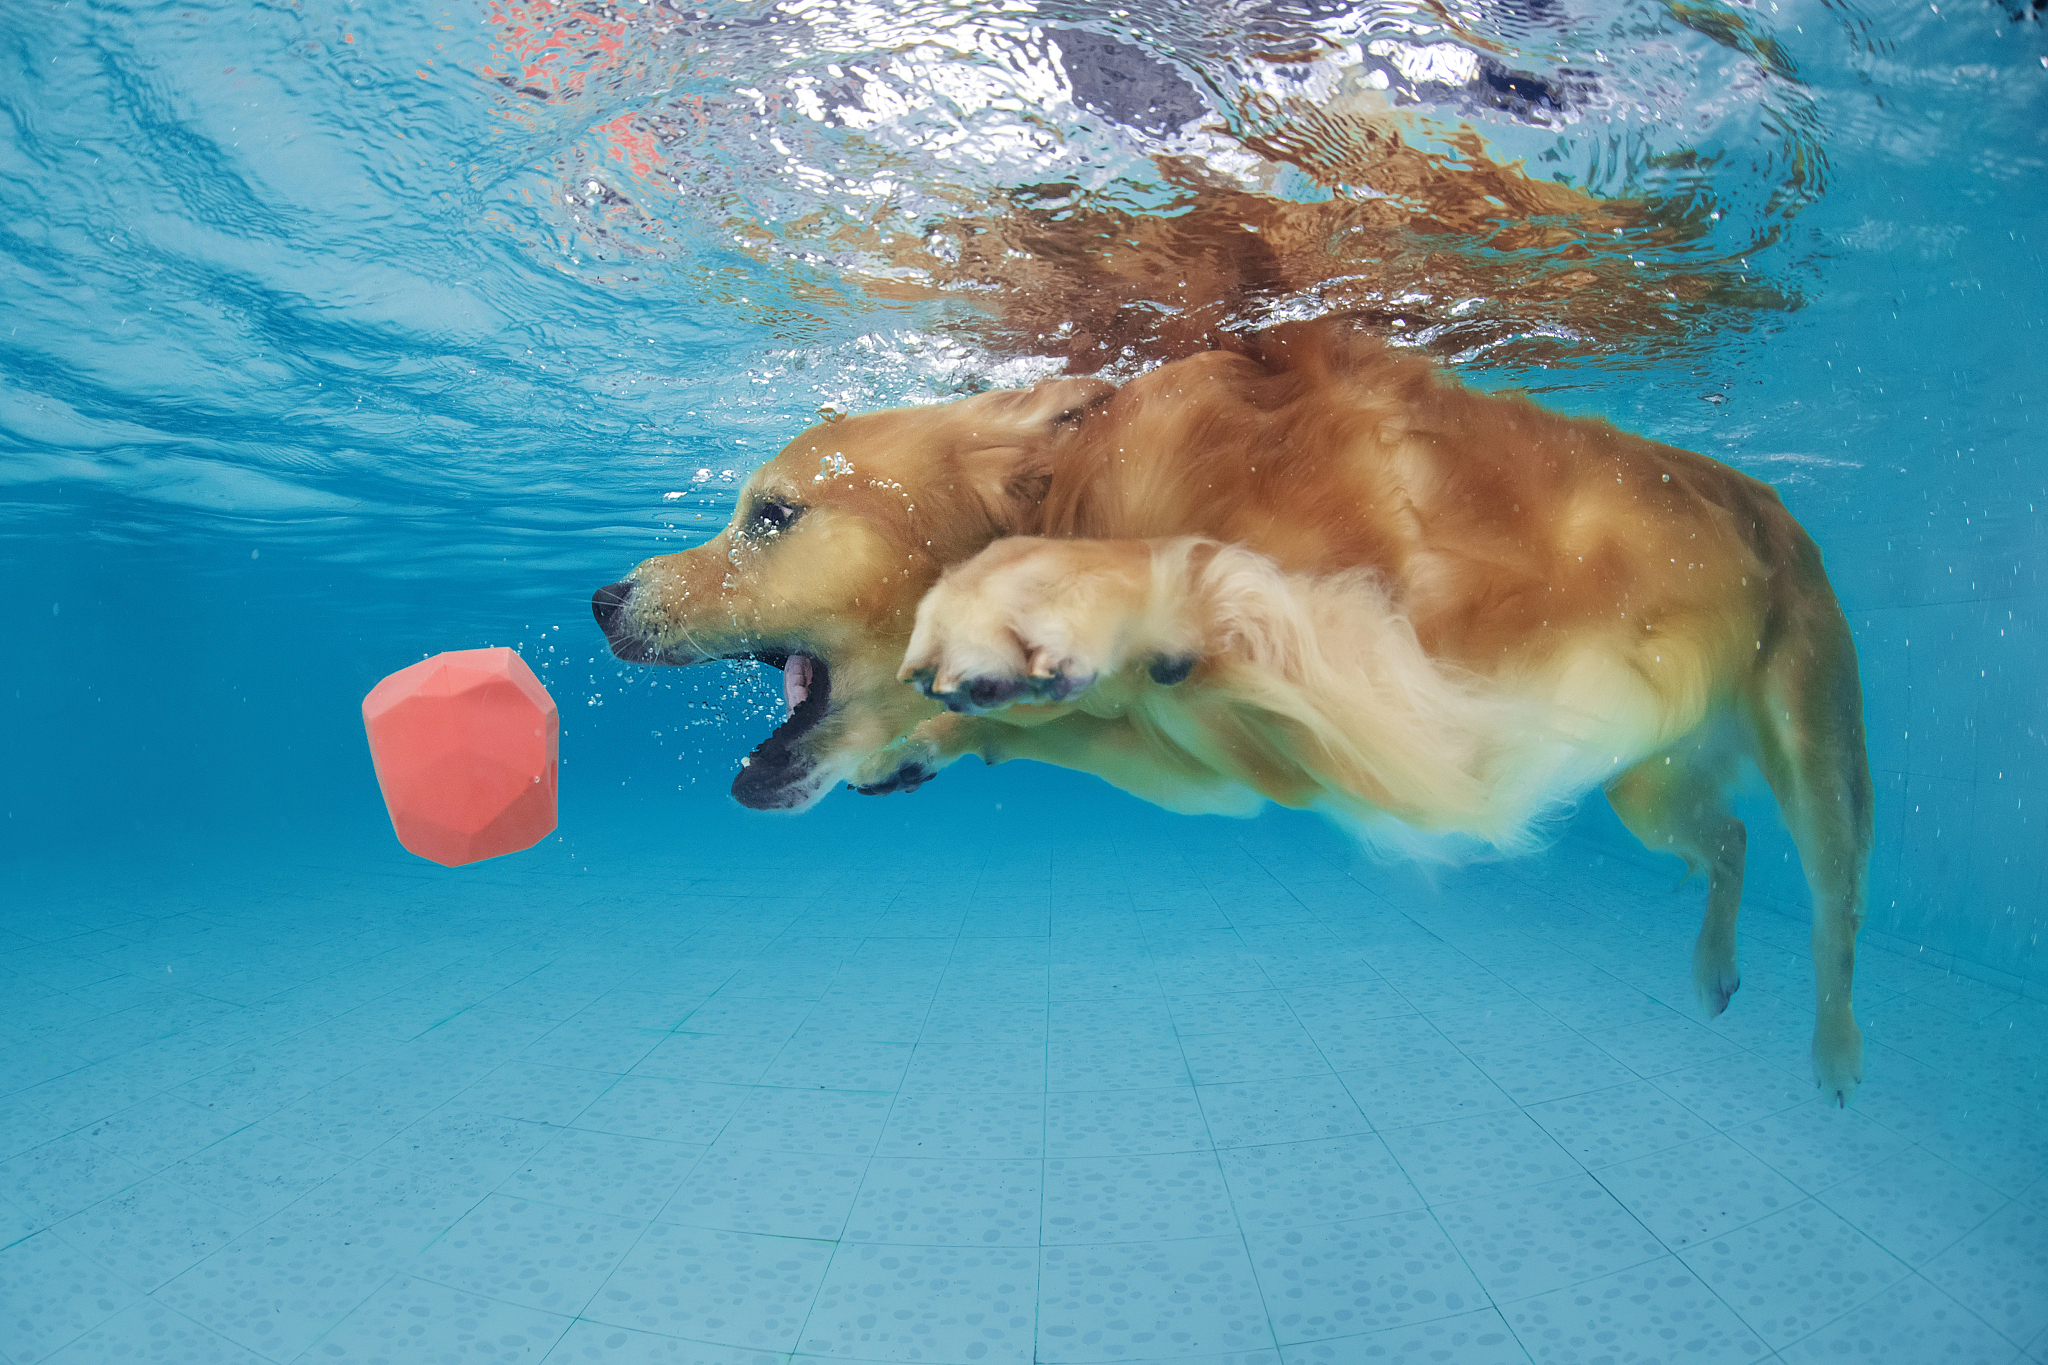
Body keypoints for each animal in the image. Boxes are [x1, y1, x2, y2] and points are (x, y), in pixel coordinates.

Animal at [589, 321, 1875, 1096]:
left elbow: (1193, 561)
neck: (1080, 489)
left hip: (1812, 737)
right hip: (1637, 783)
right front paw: (942, 727)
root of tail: (1767, 499)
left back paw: (1833, 1056)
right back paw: (1712, 967)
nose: (598, 598)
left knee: (1828, 907)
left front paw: (1017, 596)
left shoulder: (1432, 712)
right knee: (1726, 835)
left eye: (770, 516)